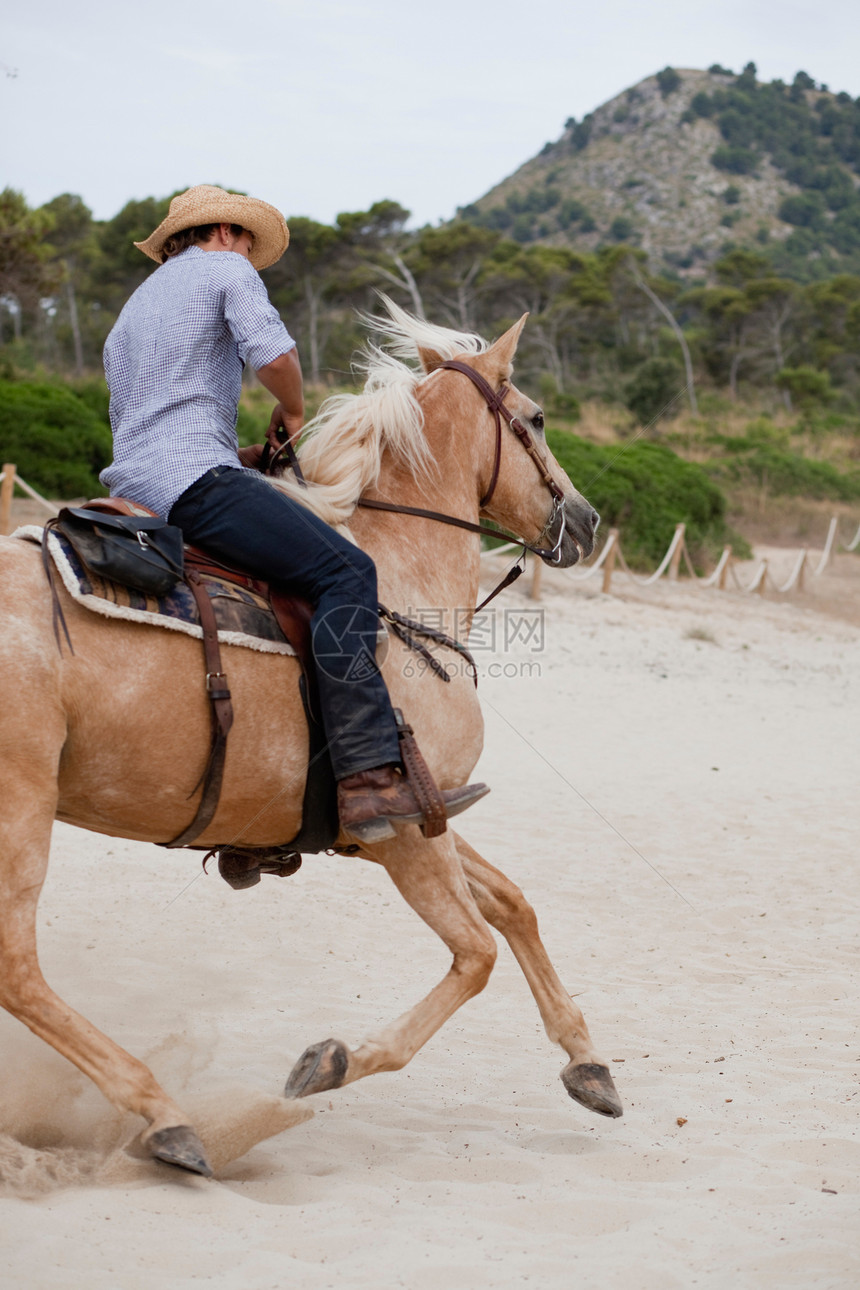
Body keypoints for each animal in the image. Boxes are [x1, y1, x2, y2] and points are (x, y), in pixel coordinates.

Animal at [0, 301, 618, 1181]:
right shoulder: (403, 832)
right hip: (21, 806)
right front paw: (327, 1065)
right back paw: (167, 1118)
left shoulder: (421, 812)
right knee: (18, 971)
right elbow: (475, 955)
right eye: (534, 417)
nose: (586, 520)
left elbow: (514, 905)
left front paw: (589, 1064)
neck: (400, 590)